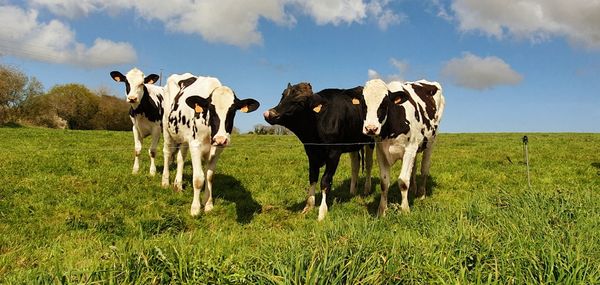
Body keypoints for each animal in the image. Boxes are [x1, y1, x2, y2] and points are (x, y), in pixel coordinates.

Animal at [162, 73, 260, 215]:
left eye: (232, 111)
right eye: (211, 109)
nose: (220, 139)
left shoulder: (217, 149)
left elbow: (209, 176)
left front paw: (208, 204)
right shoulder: (195, 144)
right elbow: (198, 179)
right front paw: (195, 209)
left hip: (184, 138)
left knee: (181, 158)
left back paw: (178, 185)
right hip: (166, 128)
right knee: (167, 153)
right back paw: (165, 182)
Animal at [262, 82, 370, 220]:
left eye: (300, 102)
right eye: (283, 95)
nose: (269, 114)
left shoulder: (334, 153)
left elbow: (325, 181)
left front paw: (322, 212)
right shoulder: (311, 152)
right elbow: (312, 177)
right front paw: (308, 206)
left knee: (369, 165)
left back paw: (366, 190)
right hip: (353, 144)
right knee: (355, 165)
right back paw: (352, 191)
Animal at [352, 77, 446, 215]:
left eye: (385, 103)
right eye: (363, 104)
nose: (371, 128)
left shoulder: (409, 150)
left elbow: (403, 181)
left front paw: (405, 210)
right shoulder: (381, 151)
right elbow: (384, 182)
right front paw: (382, 210)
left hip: (430, 141)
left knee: (424, 169)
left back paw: (421, 194)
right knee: (414, 168)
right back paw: (414, 189)